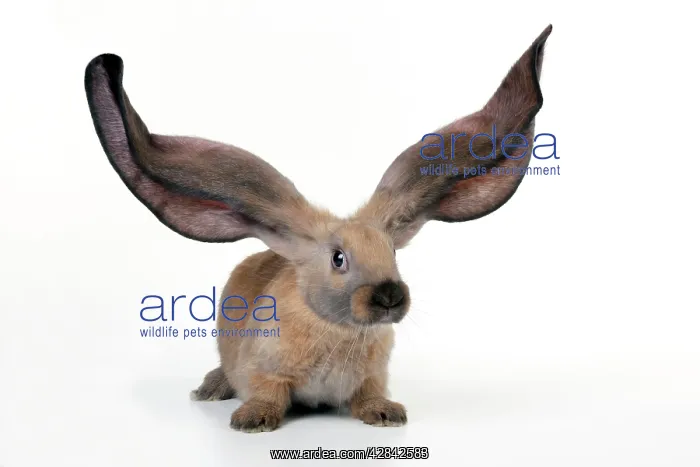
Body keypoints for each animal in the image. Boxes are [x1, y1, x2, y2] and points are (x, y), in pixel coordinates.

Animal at [84, 24, 552, 433]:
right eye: (338, 258)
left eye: (393, 251)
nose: (389, 296)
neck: (339, 332)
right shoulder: (265, 371)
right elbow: (268, 392)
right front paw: (252, 421)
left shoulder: (372, 377)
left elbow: (369, 395)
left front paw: (387, 414)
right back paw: (210, 389)